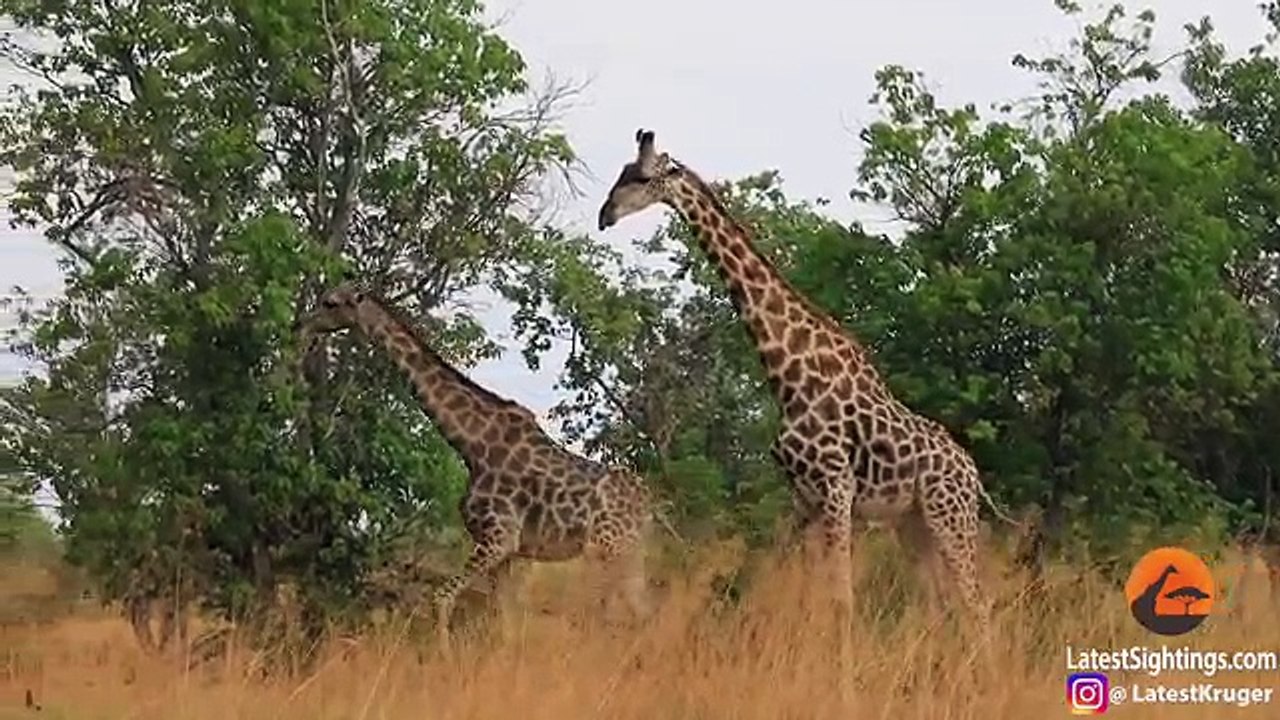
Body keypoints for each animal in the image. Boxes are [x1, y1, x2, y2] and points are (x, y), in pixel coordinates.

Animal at [294, 282, 653, 645]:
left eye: (330, 303)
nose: (302, 326)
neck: (472, 444)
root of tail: (647, 501)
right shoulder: (509, 551)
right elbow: (503, 619)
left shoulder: (498, 539)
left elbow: (443, 598)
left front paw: (445, 655)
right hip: (625, 550)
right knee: (642, 611)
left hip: (609, 547)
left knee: (622, 613)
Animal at [597, 129, 1006, 633]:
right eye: (621, 173)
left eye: (639, 176)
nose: (604, 215)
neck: (787, 373)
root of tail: (972, 472)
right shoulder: (804, 499)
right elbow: (812, 599)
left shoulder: (836, 489)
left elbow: (842, 600)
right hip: (914, 522)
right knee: (940, 604)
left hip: (950, 514)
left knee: (978, 605)